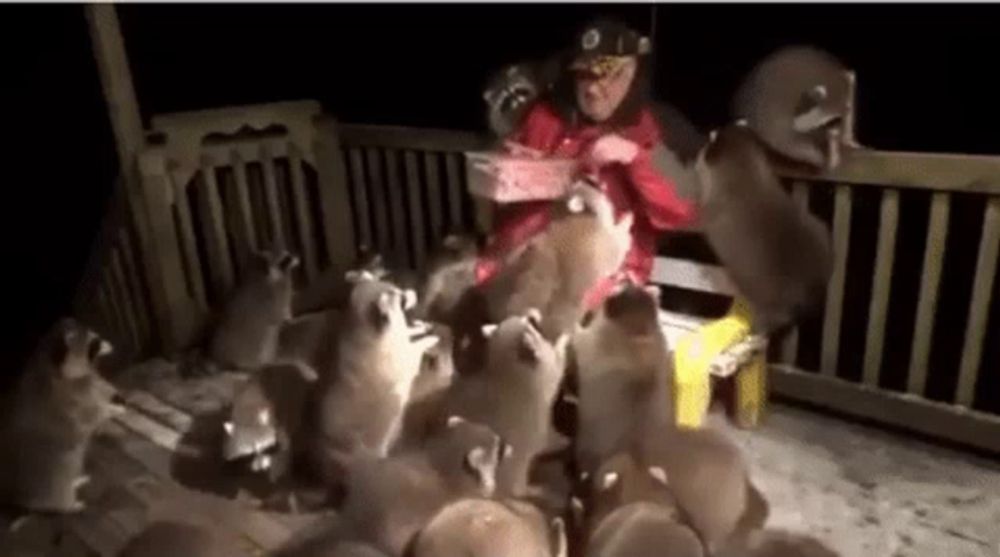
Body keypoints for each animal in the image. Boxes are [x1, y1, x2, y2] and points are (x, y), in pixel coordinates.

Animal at [0, 318, 125, 512]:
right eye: (94, 344)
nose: (109, 345)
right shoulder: (69, 402)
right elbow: (90, 416)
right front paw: (109, 410)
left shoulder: (87, 380)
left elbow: (100, 385)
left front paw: (113, 397)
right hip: (53, 477)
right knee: (61, 490)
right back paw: (71, 504)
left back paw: (77, 481)